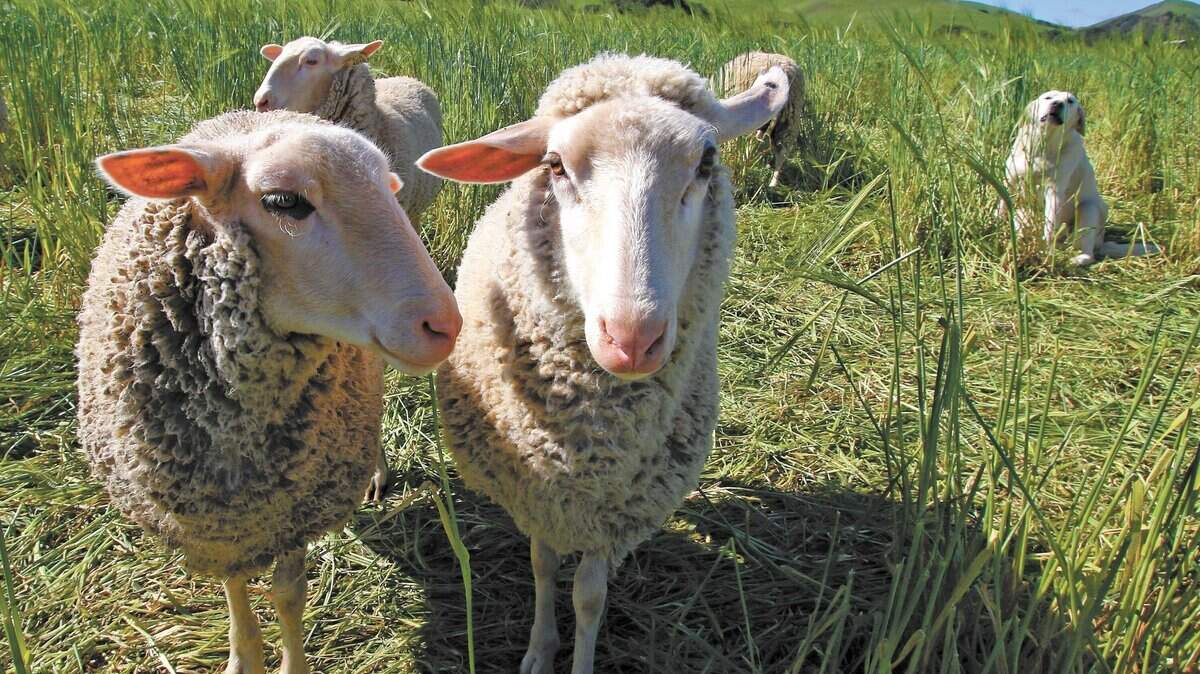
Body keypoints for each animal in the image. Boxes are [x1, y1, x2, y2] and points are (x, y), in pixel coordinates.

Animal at [77, 109, 460, 674]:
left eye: (387, 188)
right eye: (284, 202)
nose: (445, 324)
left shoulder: (294, 510)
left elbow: (288, 594)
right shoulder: (221, 526)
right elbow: (236, 590)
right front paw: (243, 656)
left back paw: (376, 471)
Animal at [417, 53, 789, 674]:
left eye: (706, 162)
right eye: (555, 165)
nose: (633, 337)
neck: (594, 445)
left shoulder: (616, 511)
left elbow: (589, 596)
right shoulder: (538, 492)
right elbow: (543, 566)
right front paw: (540, 649)